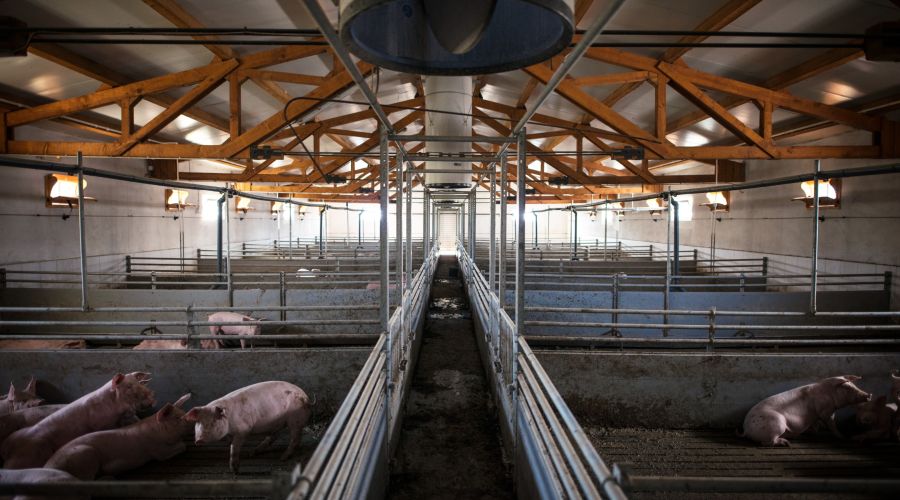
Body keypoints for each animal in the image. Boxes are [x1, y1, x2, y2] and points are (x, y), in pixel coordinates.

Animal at [0, 372, 155, 469]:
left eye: (141, 383)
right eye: (129, 387)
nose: (151, 397)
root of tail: (8, 445)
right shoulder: (100, 423)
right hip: (29, 454)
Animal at [44, 394, 192, 480]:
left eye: (183, 412)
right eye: (177, 419)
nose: (191, 420)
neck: (157, 430)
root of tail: (49, 466)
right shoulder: (157, 449)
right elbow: (178, 448)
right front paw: (184, 444)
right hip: (84, 455)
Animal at [183, 381, 312, 474]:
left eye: (214, 421)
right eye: (198, 422)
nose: (199, 440)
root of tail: (306, 396)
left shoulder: (243, 430)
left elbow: (234, 447)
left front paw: (235, 471)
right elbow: (230, 442)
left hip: (295, 420)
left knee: (295, 438)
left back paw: (283, 458)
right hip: (275, 423)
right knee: (274, 436)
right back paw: (252, 453)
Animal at [740, 375, 871, 447]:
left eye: (854, 385)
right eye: (847, 388)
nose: (869, 394)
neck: (828, 392)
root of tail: (746, 430)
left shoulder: (816, 416)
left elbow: (816, 425)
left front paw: (812, 432)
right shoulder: (826, 411)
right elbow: (832, 424)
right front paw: (844, 437)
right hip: (777, 423)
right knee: (767, 442)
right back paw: (786, 443)